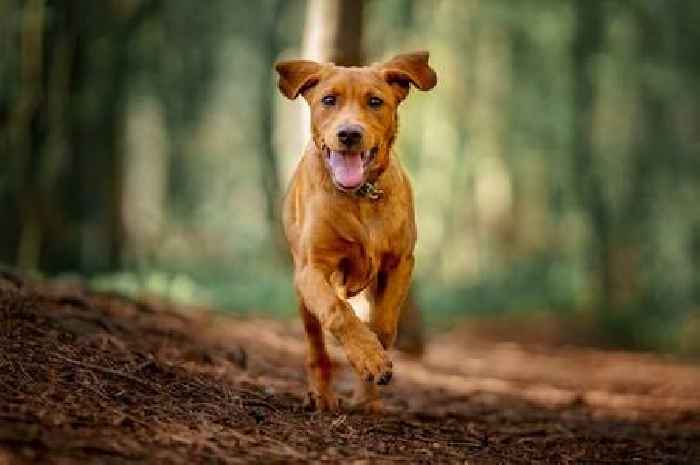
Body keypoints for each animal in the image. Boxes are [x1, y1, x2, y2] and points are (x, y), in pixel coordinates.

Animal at [274, 49, 434, 410]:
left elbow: (384, 325)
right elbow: (337, 312)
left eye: (375, 101)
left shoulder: (401, 262)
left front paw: (372, 362)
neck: (359, 196)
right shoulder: (312, 270)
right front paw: (367, 356)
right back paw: (322, 396)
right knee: (317, 347)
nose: (349, 134)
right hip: (303, 295)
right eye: (328, 100)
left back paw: (365, 398)